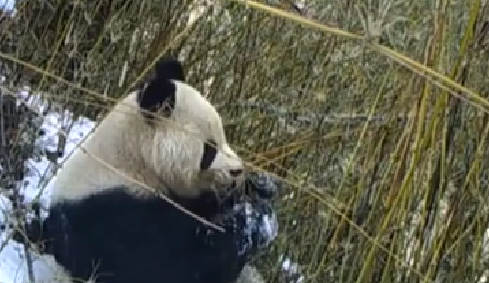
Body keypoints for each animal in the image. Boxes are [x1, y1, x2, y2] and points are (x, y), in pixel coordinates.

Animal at [20, 57, 274, 283]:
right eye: (209, 149)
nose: (238, 170)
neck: (135, 162)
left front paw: (260, 189)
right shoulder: (110, 214)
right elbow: (171, 266)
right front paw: (251, 221)